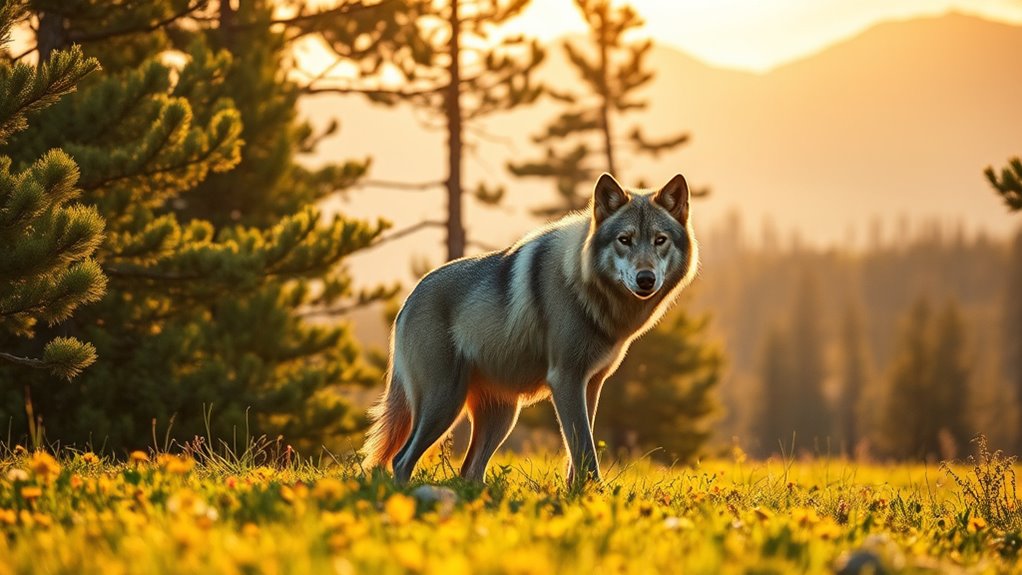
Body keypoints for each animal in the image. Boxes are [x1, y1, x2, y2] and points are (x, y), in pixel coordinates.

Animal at [361, 173, 699, 484]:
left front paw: (577, 495)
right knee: (402, 459)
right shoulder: (565, 379)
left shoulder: (591, 384)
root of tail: (408, 300)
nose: (646, 279)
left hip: (502, 416)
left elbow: (578, 453)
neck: (583, 285)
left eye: (659, 240)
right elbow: (585, 452)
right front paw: (596, 496)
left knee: (469, 470)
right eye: (624, 240)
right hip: (444, 403)